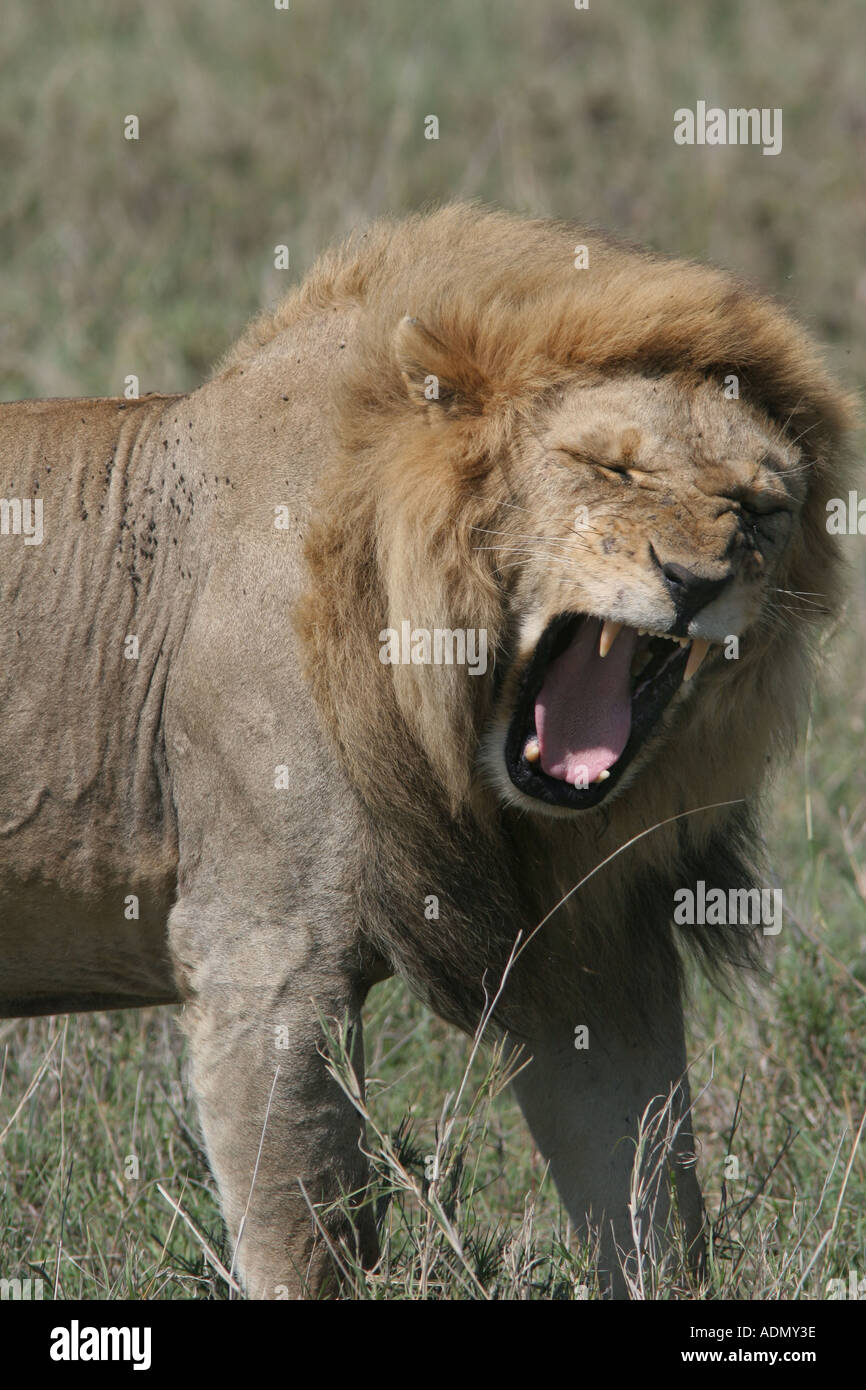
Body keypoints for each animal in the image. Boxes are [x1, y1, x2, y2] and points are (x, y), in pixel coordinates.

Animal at [0, 204, 854, 1299]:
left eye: (757, 510)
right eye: (611, 469)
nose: (695, 580)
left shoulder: (591, 957)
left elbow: (652, 1200)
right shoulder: (265, 952)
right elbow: (302, 1237)